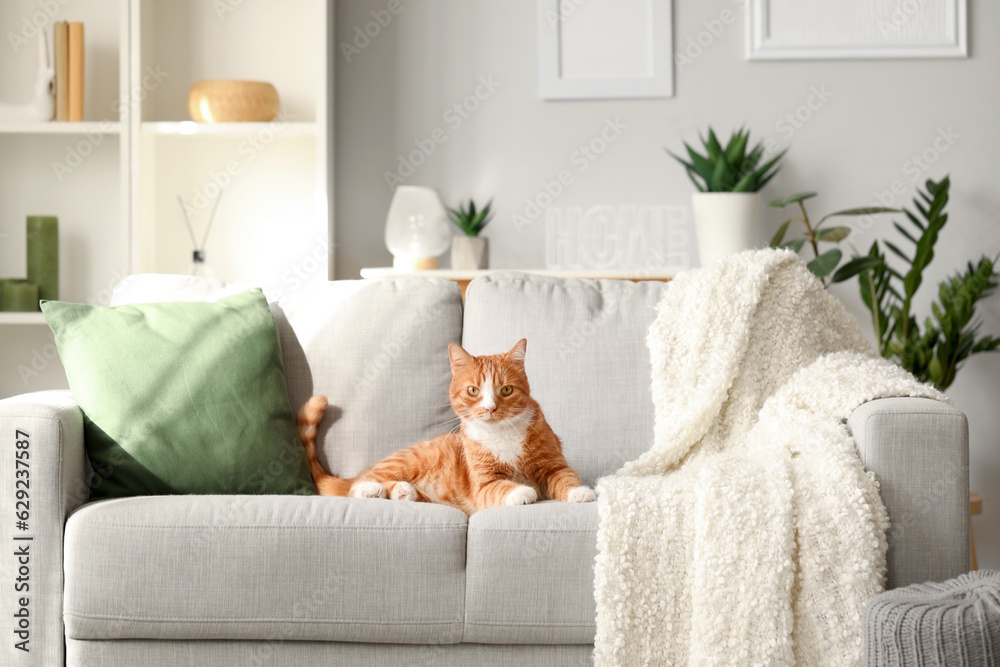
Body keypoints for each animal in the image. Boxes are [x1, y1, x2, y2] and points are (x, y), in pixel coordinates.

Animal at [294, 340, 592, 516]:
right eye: (473, 391)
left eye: (506, 390)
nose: (491, 408)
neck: (501, 434)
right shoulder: (484, 484)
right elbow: (502, 487)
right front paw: (522, 491)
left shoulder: (554, 465)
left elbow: (566, 478)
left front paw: (581, 492)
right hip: (410, 460)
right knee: (356, 485)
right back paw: (373, 489)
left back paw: (403, 492)